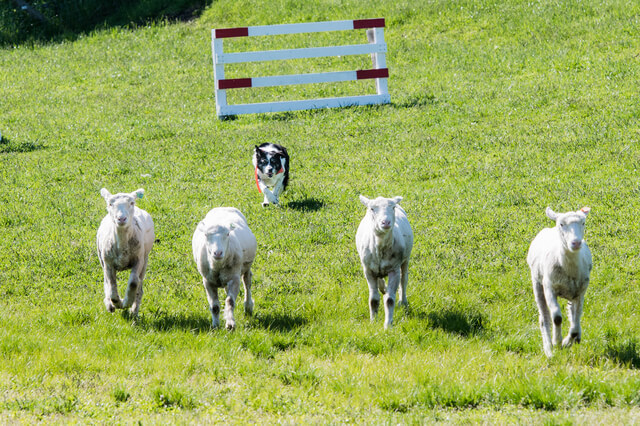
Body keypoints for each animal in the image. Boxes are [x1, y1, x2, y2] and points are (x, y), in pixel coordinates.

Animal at [356, 195, 416, 328]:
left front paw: (388, 325)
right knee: (381, 282)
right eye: (372, 209)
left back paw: (403, 301)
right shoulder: (368, 271)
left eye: (392, 207)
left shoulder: (394, 269)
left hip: (405, 259)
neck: (380, 247)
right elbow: (373, 299)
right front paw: (373, 321)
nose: (386, 222)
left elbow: (389, 300)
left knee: (404, 280)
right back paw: (383, 287)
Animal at [528, 206, 592, 356]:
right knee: (544, 317)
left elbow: (575, 323)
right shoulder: (549, 287)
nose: (576, 243)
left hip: (574, 291)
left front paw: (567, 341)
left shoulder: (580, 292)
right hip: (537, 283)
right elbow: (557, 317)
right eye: (561, 224)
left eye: (583, 223)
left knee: (573, 314)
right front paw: (557, 341)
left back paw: (575, 338)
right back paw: (549, 350)